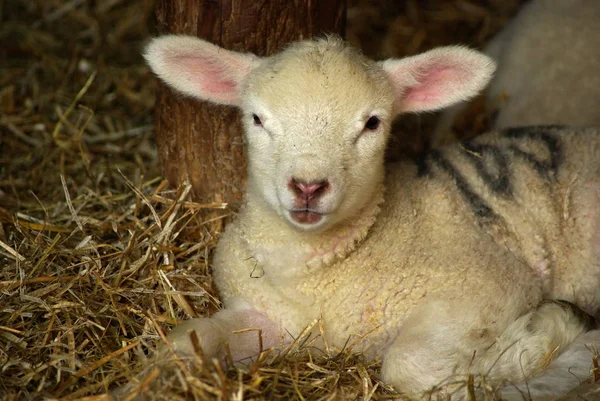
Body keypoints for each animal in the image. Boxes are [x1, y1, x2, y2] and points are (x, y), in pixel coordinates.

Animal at [143, 35, 600, 400]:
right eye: (256, 118)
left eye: (373, 123)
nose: (308, 186)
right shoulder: (268, 320)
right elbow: (187, 340)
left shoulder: (493, 283)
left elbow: (407, 363)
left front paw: (539, 335)